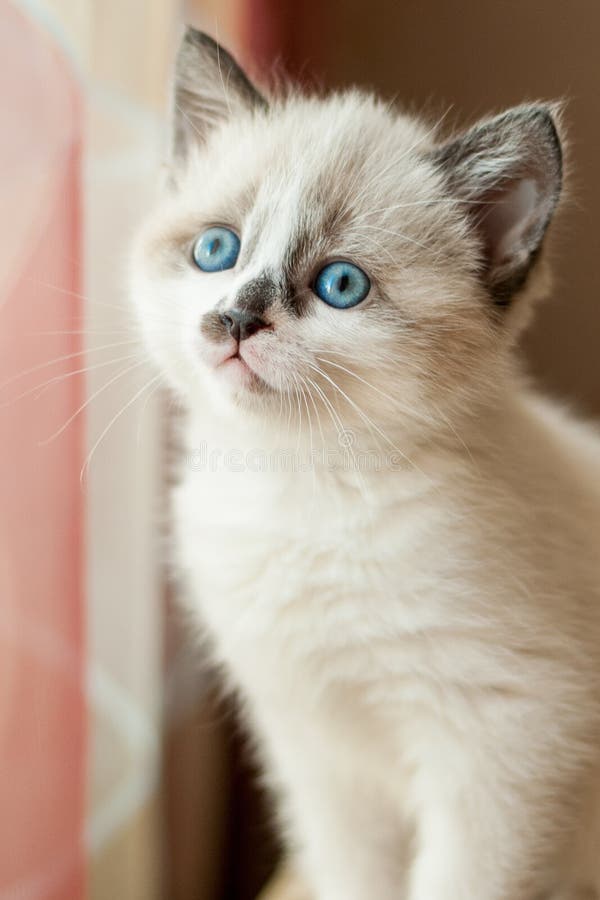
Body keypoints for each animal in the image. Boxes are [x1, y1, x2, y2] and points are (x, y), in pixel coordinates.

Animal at [131, 28, 600, 900]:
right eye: (217, 249)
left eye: (340, 285)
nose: (235, 318)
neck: (299, 487)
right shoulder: (319, 759)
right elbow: (354, 874)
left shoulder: (507, 749)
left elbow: (459, 884)